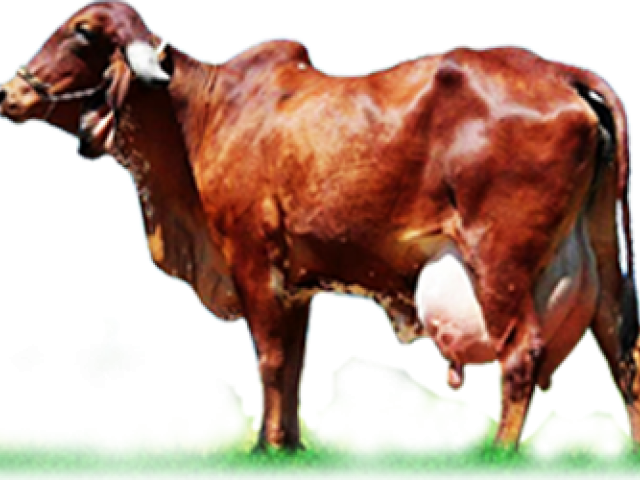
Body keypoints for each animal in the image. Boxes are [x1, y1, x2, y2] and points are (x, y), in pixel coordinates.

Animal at [1, 0, 637, 452]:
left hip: (500, 256)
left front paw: (262, 448)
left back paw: (499, 454)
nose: (9, 91)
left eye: (82, 33)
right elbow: (294, 361)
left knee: (523, 352)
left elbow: (271, 359)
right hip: (601, 253)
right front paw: (287, 446)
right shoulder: (295, 278)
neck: (198, 116)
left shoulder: (252, 260)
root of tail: (561, 73)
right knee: (620, 344)